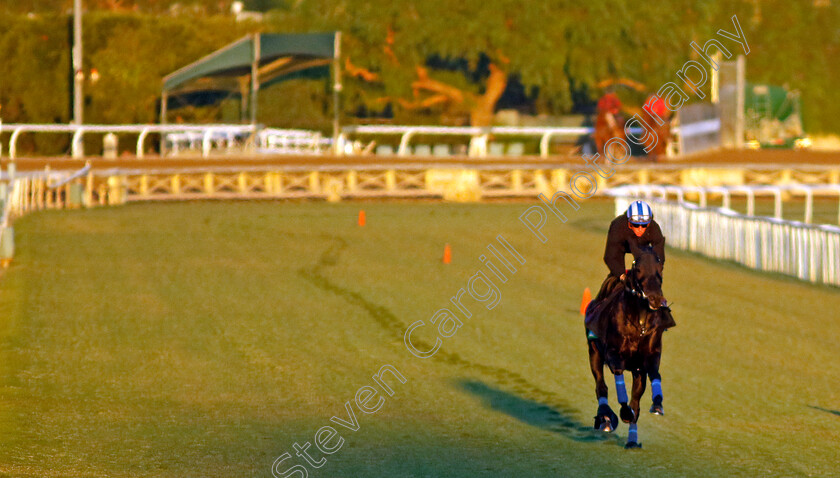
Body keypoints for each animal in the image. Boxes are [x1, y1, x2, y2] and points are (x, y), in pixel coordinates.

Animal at [584, 250, 676, 448]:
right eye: (638, 268)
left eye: (660, 268)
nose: (655, 299)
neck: (640, 322)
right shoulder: (613, 355)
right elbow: (620, 385)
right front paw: (622, 414)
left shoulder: (645, 362)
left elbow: (651, 380)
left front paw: (657, 404)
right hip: (594, 352)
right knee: (601, 386)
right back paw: (605, 418)